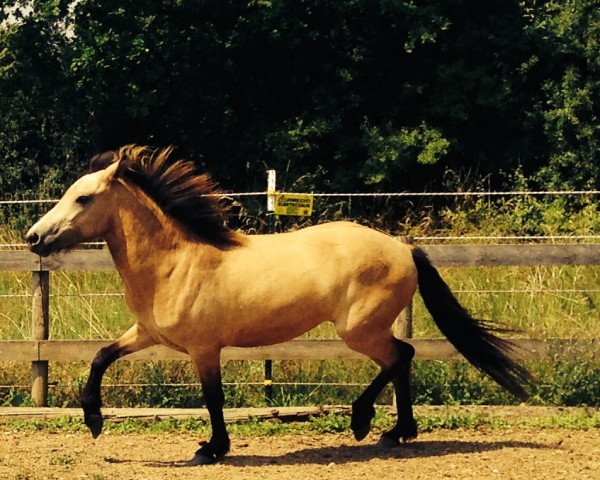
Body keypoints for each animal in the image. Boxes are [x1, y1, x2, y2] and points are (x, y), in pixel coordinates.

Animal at [24, 146, 536, 464]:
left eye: (82, 197)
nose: (33, 238)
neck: (174, 262)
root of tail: (402, 247)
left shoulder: (203, 348)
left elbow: (213, 398)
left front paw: (211, 448)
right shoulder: (149, 334)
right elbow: (100, 356)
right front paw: (93, 420)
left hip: (359, 330)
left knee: (401, 356)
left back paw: (366, 422)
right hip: (366, 330)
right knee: (401, 361)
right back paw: (397, 433)